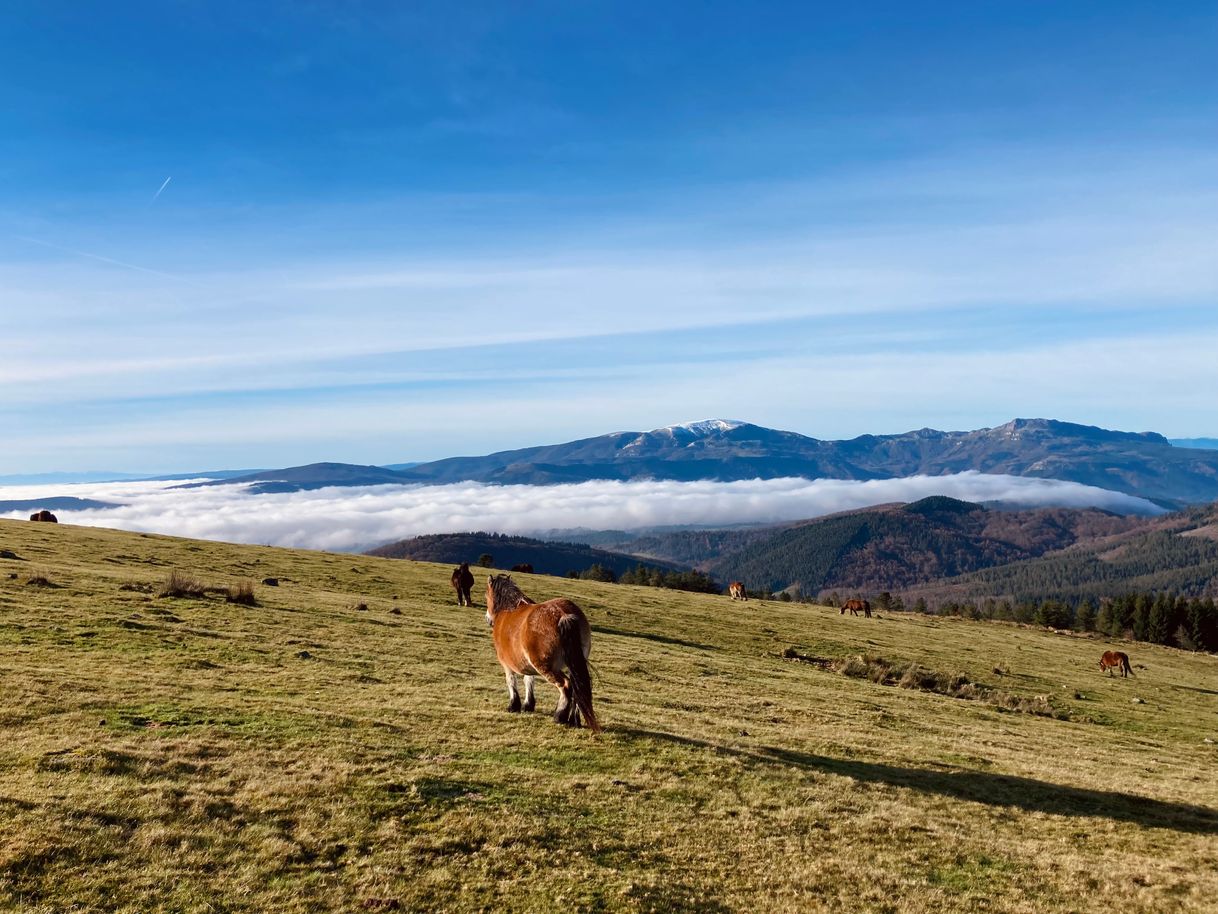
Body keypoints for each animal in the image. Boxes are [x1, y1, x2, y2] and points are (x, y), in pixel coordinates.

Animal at [484, 575, 599, 736]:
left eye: (486, 595)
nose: (488, 619)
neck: (508, 609)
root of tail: (563, 614)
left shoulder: (507, 664)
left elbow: (511, 681)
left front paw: (514, 706)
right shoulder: (527, 663)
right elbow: (529, 680)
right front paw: (528, 705)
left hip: (546, 667)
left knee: (566, 685)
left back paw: (559, 716)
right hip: (573, 664)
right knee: (577, 688)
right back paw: (574, 720)